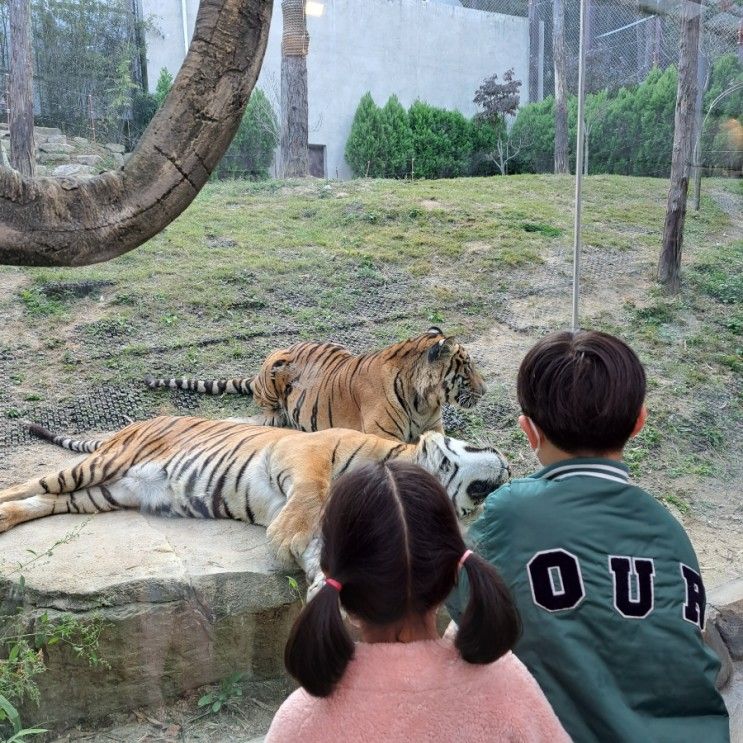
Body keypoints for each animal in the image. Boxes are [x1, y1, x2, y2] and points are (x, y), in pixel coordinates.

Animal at [0, 418, 508, 600]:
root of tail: (130, 424)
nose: (508, 466)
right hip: (103, 465)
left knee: (44, 499)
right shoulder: (305, 453)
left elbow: (321, 555)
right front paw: (283, 538)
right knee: (28, 483)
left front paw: (323, 590)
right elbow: (309, 494)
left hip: (105, 493)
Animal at [144, 326, 488, 442]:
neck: (425, 400)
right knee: (261, 399)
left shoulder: (435, 428)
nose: (485, 391)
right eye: (468, 367)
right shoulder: (385, 436)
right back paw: (274, 416)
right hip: (274, 361)